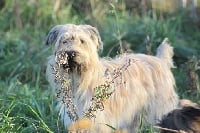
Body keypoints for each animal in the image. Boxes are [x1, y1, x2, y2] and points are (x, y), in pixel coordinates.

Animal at [45, 23, 178, 132]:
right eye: (64, 41)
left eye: (82, 41)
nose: (70, 53)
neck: (79, 79)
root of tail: (161, 60)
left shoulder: (98, 121)